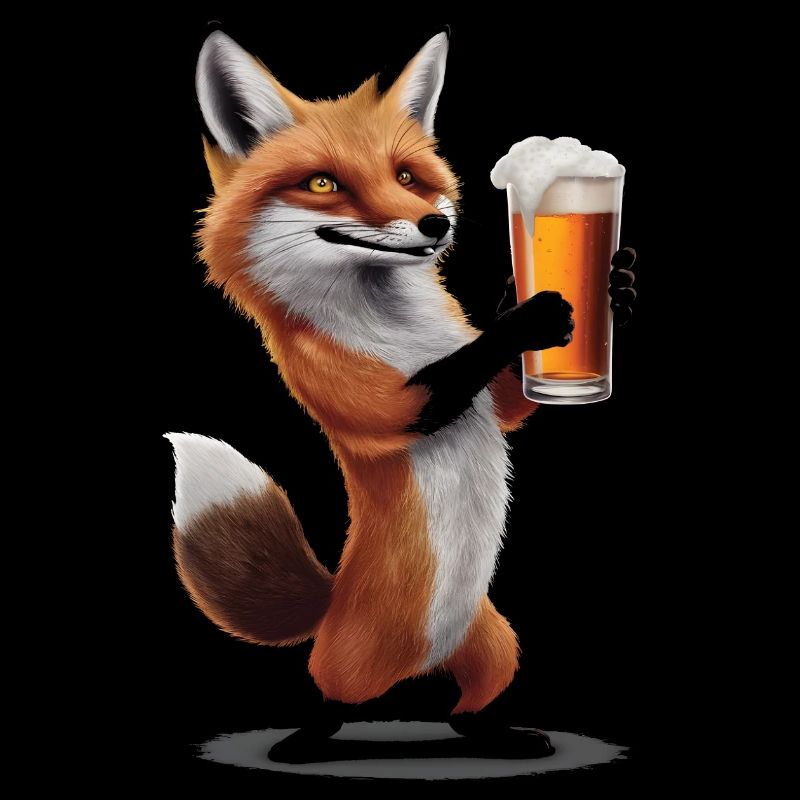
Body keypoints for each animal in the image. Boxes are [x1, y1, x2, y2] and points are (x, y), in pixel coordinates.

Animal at [167, 29, 637, 763]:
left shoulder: (483, 401)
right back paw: (305, 741)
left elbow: (506, 404)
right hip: (356, 659)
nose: (433, 225)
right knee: (330, 695)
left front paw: (608, 285)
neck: (396, 328)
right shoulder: (369, 394)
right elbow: (440, 382)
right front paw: (527, 318)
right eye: (324, 183)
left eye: (409, 176)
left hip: (494, 642)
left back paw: (499, 735)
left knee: (468, 709)